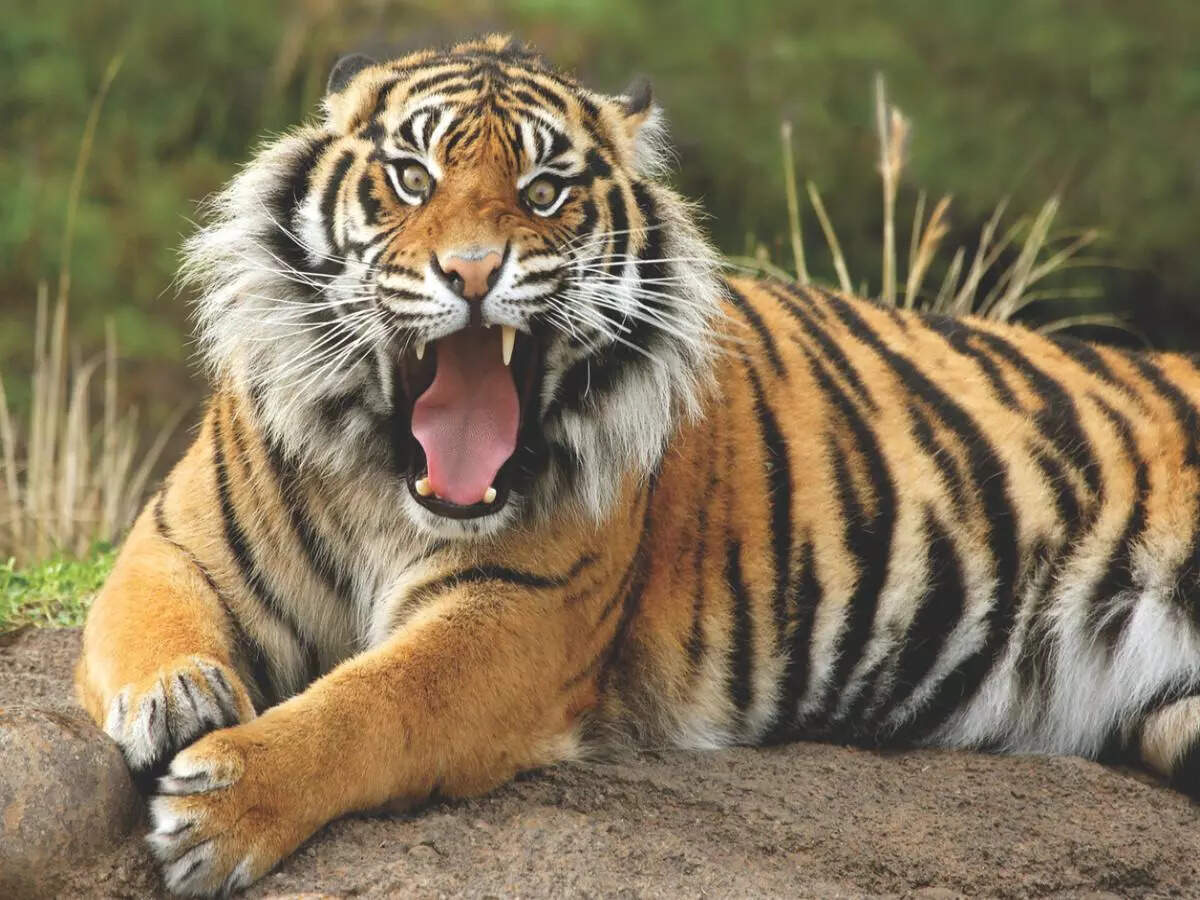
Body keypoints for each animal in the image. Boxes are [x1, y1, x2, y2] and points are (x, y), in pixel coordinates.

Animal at [74, 33, 1200, 896]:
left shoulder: (514, 615)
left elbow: (370, 704)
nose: (472, 272)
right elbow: (149, 623)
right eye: (413, 178)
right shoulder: (175, 542)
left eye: (543, 191)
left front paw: (223, 809)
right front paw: (176, 699)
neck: (386, 481)